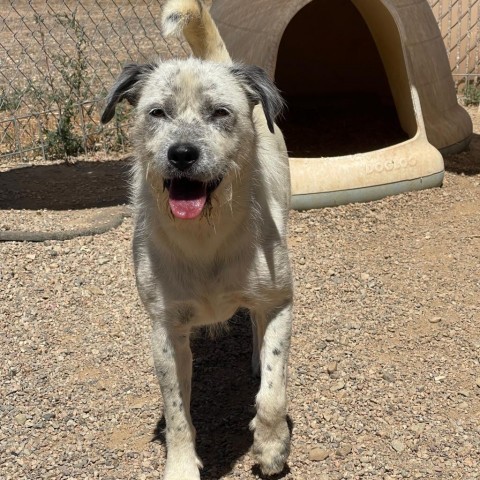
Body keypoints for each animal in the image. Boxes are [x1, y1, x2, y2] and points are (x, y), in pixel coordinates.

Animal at [100, 1, 292, 478]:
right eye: (157, 113)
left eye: (220, 112)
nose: (182, 154)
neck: (206, 236)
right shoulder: (165, 330)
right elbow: (176, 414)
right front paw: (182, 467)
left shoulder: (282, 302)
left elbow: (274, 392)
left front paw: (271, 447)